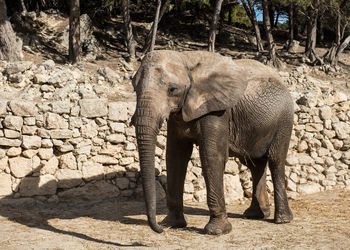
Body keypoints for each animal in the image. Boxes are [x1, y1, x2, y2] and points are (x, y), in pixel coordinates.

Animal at [133, 50, 294, 234]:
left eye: (172, 89)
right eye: (134, 86)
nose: (159, 228)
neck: (186, 58)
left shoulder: (217, 110)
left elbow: (211, 156)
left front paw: (216, 231)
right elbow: (175, 156)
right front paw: (172, 224)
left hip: (284, 121)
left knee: (276, 161)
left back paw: (282, 220)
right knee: (255, 164)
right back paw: (255, 215)